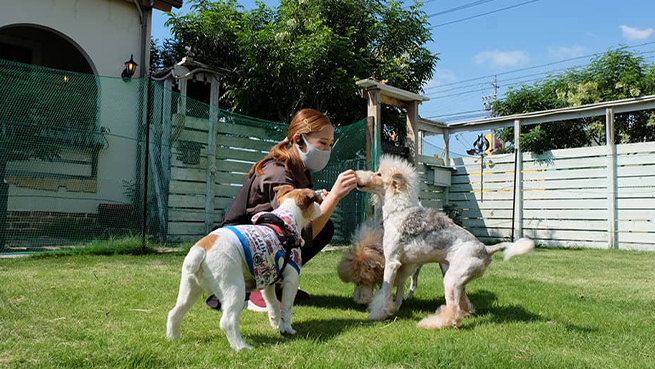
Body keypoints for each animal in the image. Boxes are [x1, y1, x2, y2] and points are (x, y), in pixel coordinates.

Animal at [167, 185, 322, 350]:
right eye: (314, 201)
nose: (320, 204)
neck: (286, 222)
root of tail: (201, 250)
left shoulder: (268, 281)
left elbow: (273, 305)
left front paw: (275, 323)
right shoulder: (291, 280)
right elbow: (286, 309)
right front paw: (287, 329)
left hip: (190, 289)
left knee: (174, 313)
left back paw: (173, 339)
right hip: (234, 289)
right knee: (227, 322)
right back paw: (242, 347)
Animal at [356, 155, 536, 328]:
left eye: (379, 174)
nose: (357, 176)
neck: (399, 211)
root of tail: (486, 249)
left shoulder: (392, 262)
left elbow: (384, 292)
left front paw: (376, 314)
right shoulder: (405, 266)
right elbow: (399, 291)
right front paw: (394, 307)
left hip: (450, 280)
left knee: (453, 312)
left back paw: (429, 323)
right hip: (455, 277)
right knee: (464, 303)